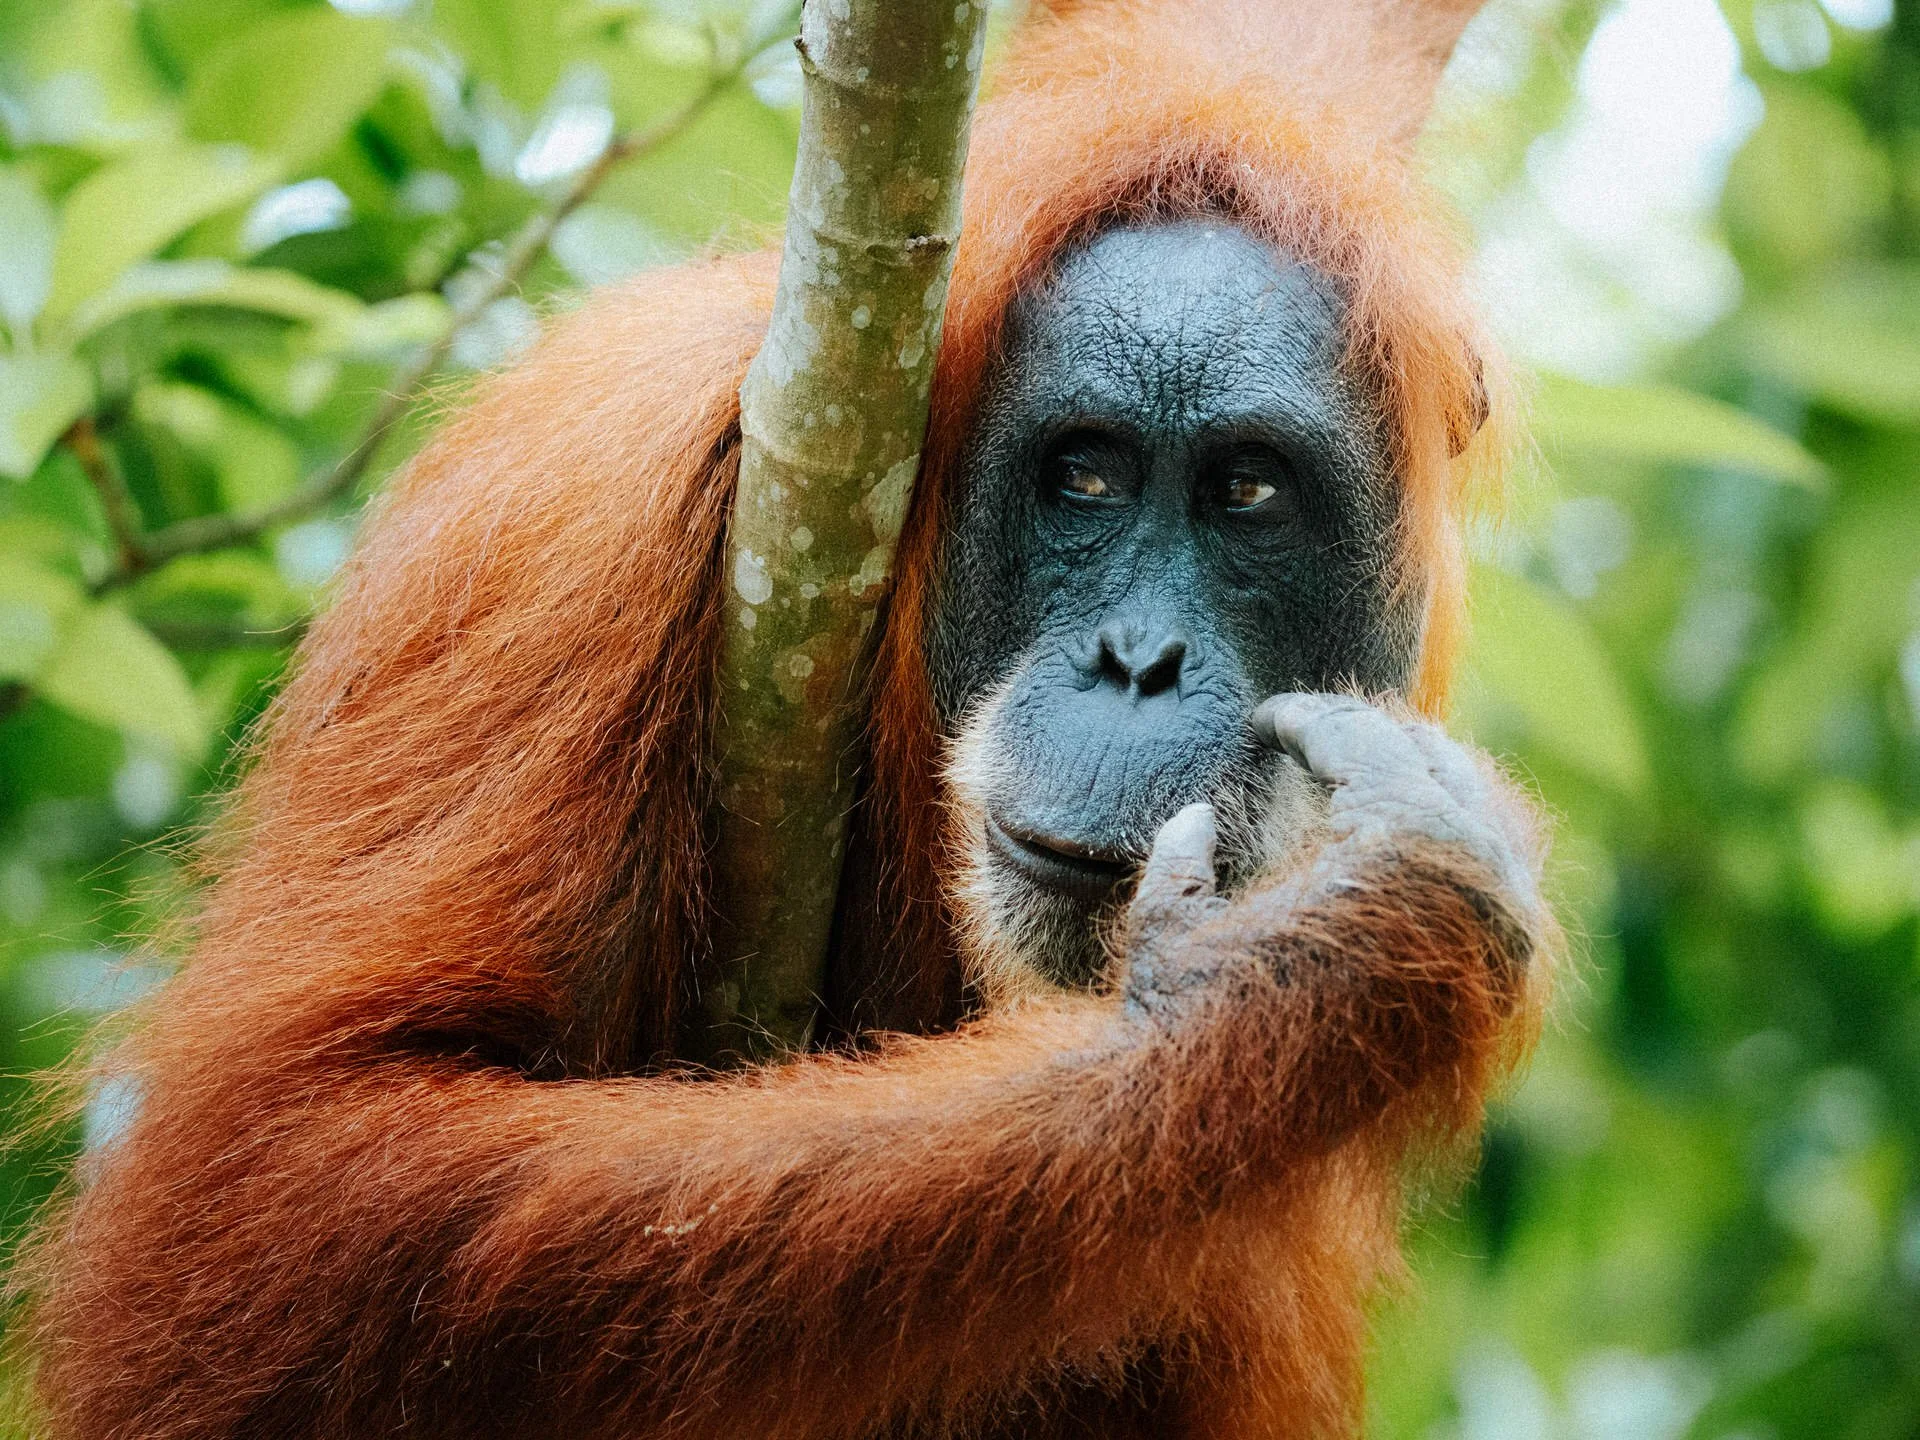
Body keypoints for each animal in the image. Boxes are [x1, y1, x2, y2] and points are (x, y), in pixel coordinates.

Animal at [23, 2, 1551, 1436]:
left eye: (1247, 493)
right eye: (1088, 476)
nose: (1139, 663)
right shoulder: (573, 547)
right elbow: (272, 1190)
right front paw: (1304, 968)